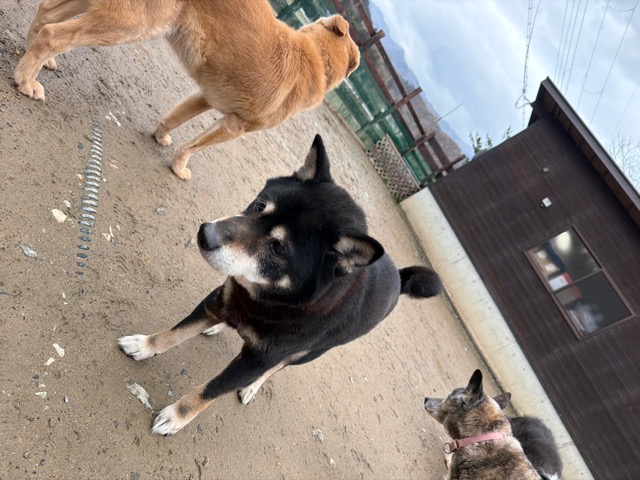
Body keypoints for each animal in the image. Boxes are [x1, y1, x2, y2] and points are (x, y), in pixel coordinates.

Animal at [15, 0, 360, 180]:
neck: (317, 56)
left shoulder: (205, 97)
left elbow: (174, 119)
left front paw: (160, 137)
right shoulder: (236, 126)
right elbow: (193, 147)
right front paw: (179, 167)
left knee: (46, 13)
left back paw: (32, 58)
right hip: (132, 23)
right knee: (54, 33)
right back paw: (27, 80)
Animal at [118, 134, 442, 434]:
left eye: (278, 248)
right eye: (260, 205)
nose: (205, 234)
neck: (269, 299)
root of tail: (398, 276)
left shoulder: (257, 360)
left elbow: (209, 390)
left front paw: (176, 416)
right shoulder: (219, 299)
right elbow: (176, 332)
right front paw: (145, 345)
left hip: (309, 353)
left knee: (277, 368)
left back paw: (251, 386)